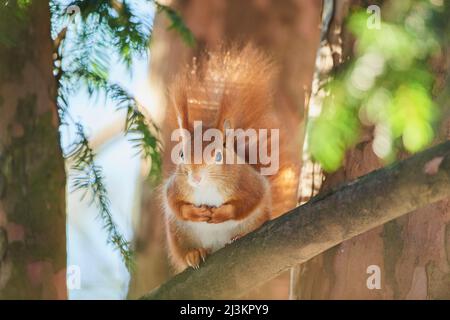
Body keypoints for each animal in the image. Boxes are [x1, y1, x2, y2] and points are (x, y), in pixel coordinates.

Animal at [162, 45, 282, 272]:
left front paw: (221, 214)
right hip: (179, 234)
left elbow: (249, 201)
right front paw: (195, 213)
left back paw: (238, 236)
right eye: (181, 154)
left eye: (218, 155)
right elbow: (175, 204)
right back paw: (194, 254)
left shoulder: (248, 182)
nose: (196, 178)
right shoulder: (175, 187)